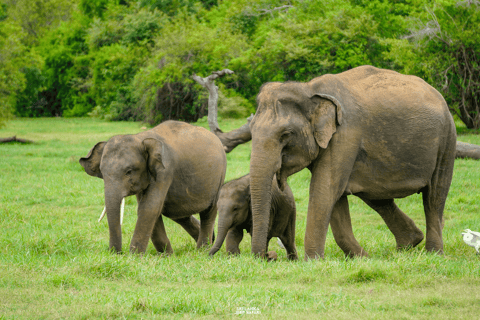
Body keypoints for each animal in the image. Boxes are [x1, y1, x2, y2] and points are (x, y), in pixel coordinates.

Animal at [79, 120, 227, 255]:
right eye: (103, 173)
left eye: (129, 171)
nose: (116, 253)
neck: (140, 138)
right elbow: (149, 207)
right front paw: (167, 255)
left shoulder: (164, 170)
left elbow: (149, 207)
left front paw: (135, 256)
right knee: (178, 213)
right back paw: (210, 240)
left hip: (220, 175)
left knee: (208, 212)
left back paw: (202, 250)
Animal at [249, 65, 456, 260]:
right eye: (251, 129)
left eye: (285, 134)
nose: (268, 256)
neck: (309, 89)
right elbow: (335, 196)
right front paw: (362, 259)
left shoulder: (345, 135)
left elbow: (325, 189)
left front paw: (312, 261)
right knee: (376, 196)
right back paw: (408, 244)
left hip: (446, 139)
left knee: (434, 196)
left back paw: (433, 254)